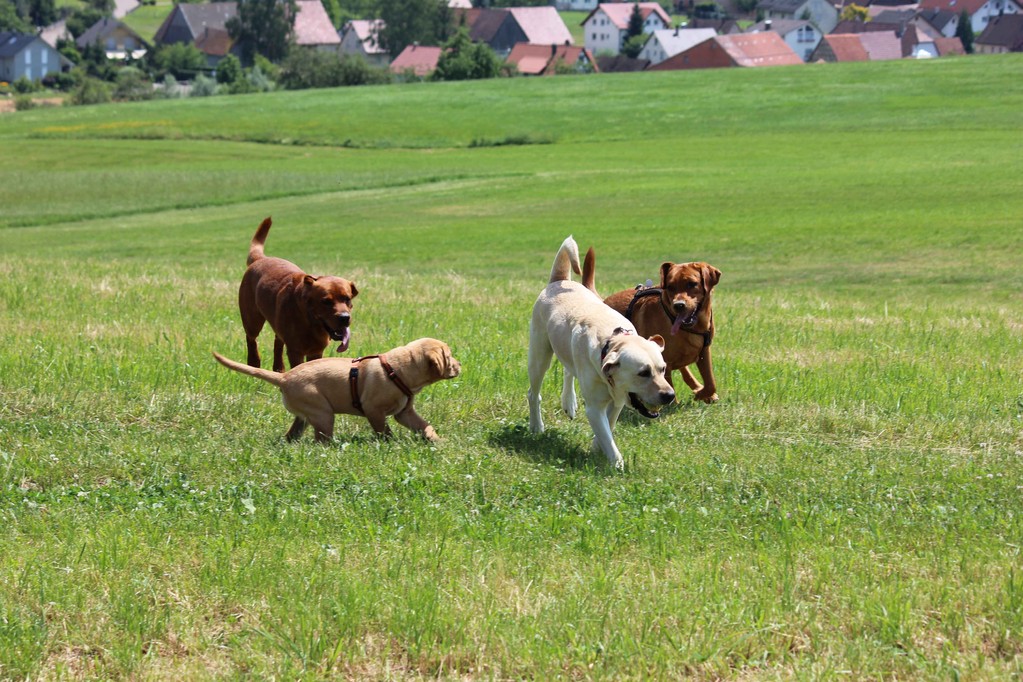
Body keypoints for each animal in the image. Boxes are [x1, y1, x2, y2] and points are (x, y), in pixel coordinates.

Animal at [213, 337, 462, 443]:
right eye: (449, 357)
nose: (460, 365)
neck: (396, 370)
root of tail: (284, 377)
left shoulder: (405, 412)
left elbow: (424, 425)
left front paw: (437, 440)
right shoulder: (374, 410)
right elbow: (384, 431)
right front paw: (391, 444)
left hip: (306, 415)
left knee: (293, 434)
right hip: (323, 413)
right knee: (321, 440)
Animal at [238, 215, 360, 370]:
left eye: (347, 299)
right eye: (326, 301)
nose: (344, 318)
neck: (310, 321)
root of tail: (261, 259)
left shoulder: (316, 351)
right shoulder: (295, 351)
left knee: (277, 341)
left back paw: (278, 368)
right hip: (252, 320)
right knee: (251, 339)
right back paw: (253, 363)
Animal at [527, 236, 679, 470]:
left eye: (662, 369)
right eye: (643, 373)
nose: (669, 395)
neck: (612, 343)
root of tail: (559, 281)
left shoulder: (617, 401)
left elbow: (609, 425)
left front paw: (596, 446)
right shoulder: (594, 408)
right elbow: (607, 436)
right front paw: (617, 465)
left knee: (569, 370)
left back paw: (569, 402)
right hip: (539, 354)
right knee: (534, 393)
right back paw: (536, 426)